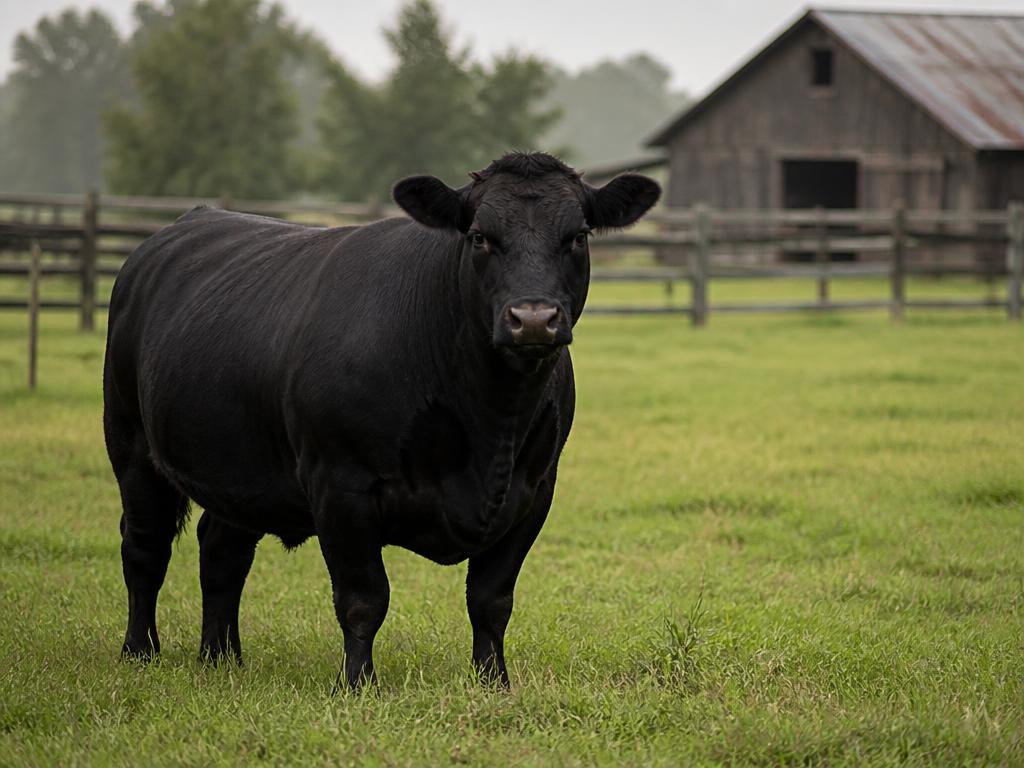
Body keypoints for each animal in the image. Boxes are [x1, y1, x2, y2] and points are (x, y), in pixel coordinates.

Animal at [103, 152, 660, 689]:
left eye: (578, 236)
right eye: (480, 236)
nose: (534, 319)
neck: (489, 421)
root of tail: (183, 224)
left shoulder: (533, 491)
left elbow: (491, 600)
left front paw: (493, 682)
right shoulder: (339, 484)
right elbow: (363, 598)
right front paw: (357, 684)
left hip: (241, 469)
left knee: (222, 550)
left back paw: (221, 657)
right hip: (131, 443)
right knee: (144, 547)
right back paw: (139, 651)